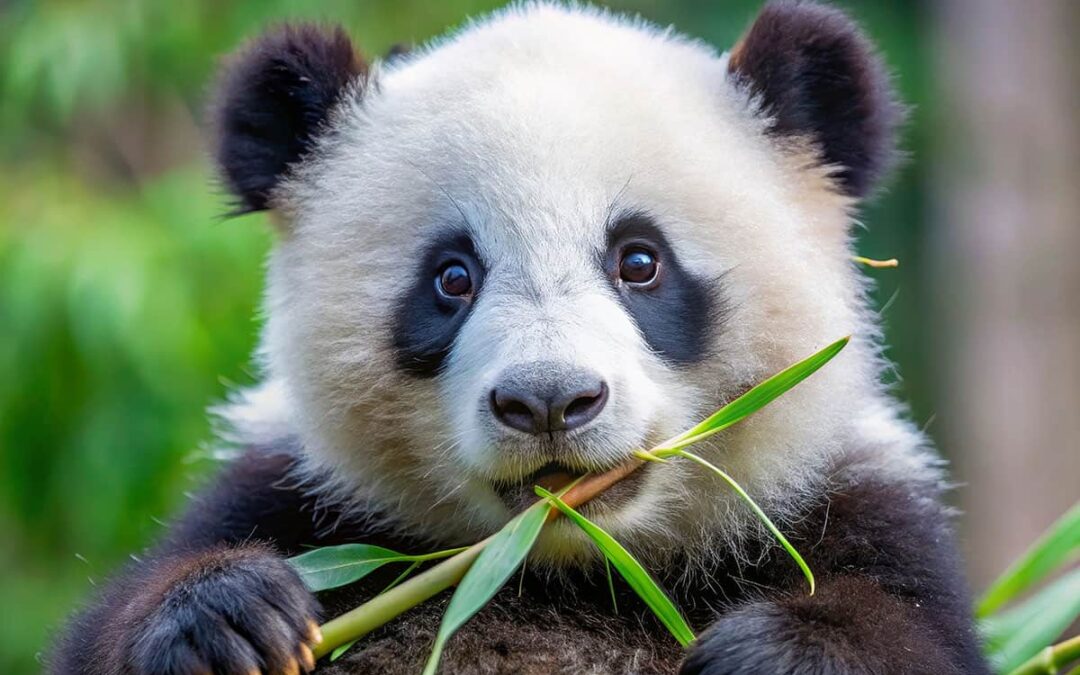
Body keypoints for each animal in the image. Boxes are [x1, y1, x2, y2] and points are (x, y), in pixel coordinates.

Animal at [53, 2, 989, 674]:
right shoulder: (298, 496)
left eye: (639, 260)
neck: (563, 567)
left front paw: (778, 653)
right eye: (452, 277)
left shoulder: (850, 508)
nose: (549, 400)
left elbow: (906, 628)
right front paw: (226, 617)